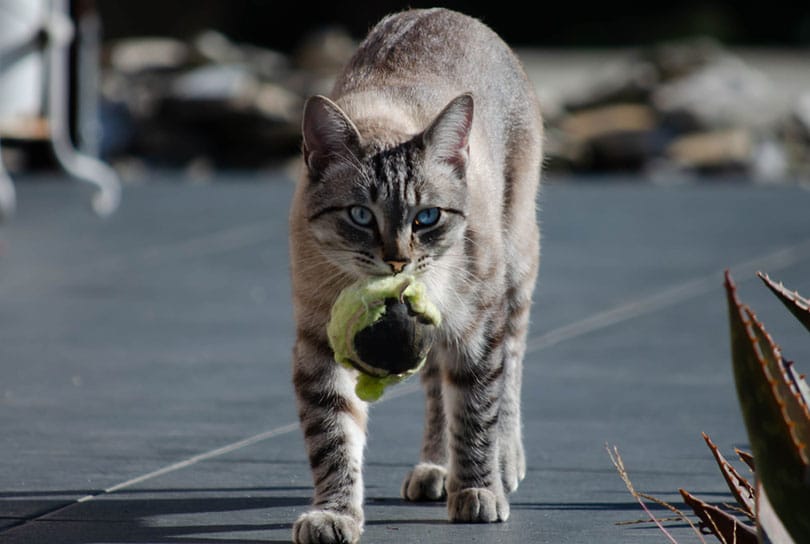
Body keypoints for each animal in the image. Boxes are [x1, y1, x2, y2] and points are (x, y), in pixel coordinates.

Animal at [288, 7, 544, 540]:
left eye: (427, 218)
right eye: (360, 216)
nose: (397, 261)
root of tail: (444, 12)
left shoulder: (477, 328)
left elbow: (476, 410)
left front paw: (477, 491)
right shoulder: (318, 341)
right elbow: (332, 436)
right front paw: (334, 514)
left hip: (514, 271)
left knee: (510, 368)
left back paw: (502, 464)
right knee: (434, 390)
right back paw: (435, 469)